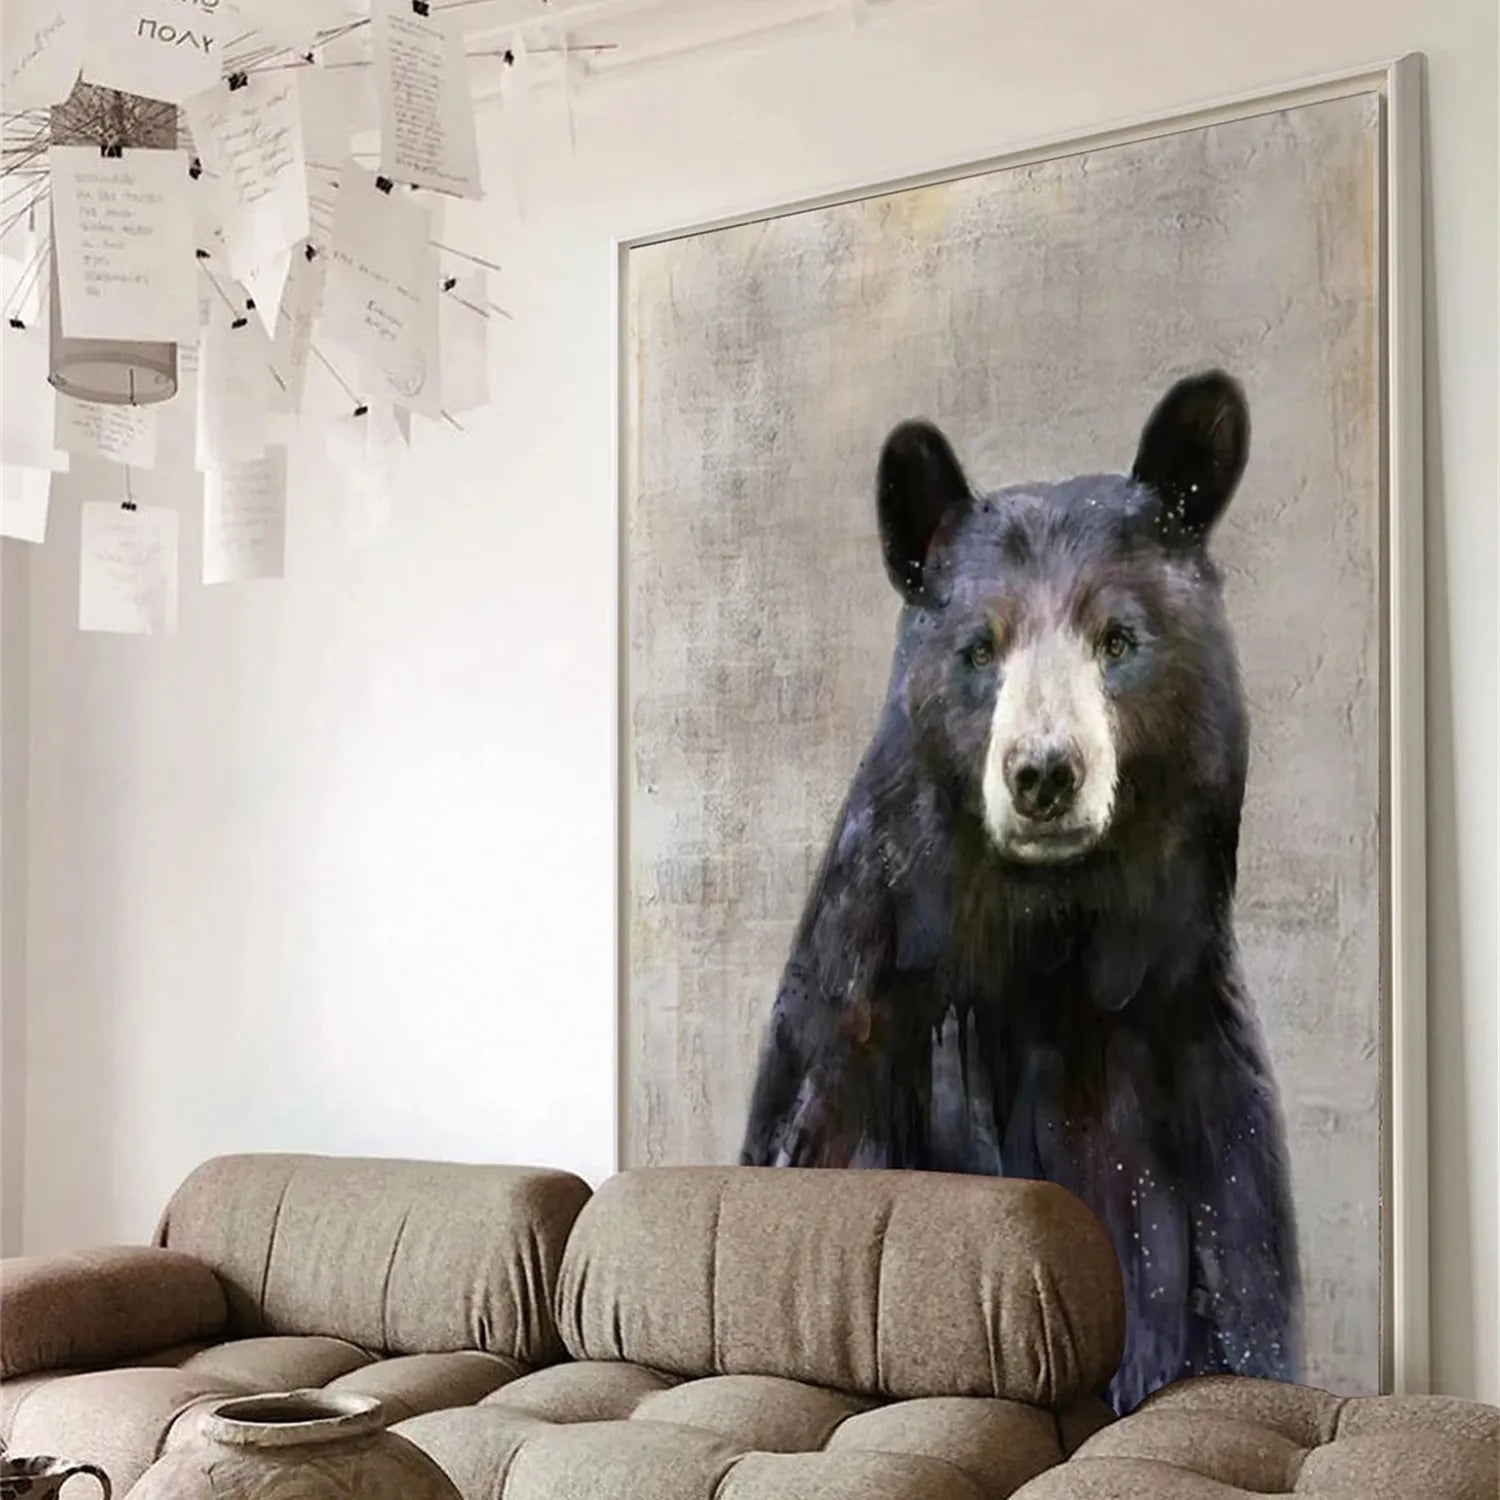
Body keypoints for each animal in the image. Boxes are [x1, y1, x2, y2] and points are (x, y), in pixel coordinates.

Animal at [740, 371, 1301, 1413]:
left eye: (1118, 638)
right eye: (978, 648)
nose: (1043, 772)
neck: (1044, 949)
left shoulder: (1191, 1102)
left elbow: (1228, 1287)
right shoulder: (851, 1061)